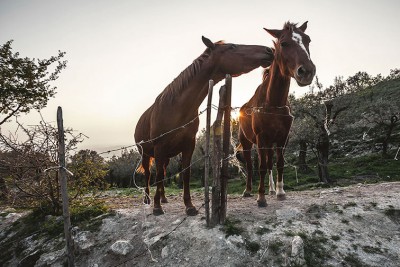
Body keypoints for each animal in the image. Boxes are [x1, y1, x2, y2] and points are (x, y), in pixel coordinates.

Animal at [135, 36, 276, 216]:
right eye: (232, 46)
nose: (269, 50)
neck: (176, 108)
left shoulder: (188, 145)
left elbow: (185, 174)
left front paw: (189, 206)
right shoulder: (160, 148)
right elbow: (158, 176)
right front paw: (157, 207)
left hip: (165, 156)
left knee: (163, 172)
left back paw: (163, 198)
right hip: (147, 154)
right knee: (148, 174)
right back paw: (148, 199)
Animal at [238, 22, 316, 207]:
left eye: (308, 40)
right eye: (284, 43)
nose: (307, 72)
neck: (273, 103)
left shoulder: (282, 138)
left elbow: (278, 163)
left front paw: (280, 192)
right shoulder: (261, 139)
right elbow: (260, 167)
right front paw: (261, 197)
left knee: (269, 164)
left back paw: (272, 190)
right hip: (247, 143)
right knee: (251, 166)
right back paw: (248, 191)